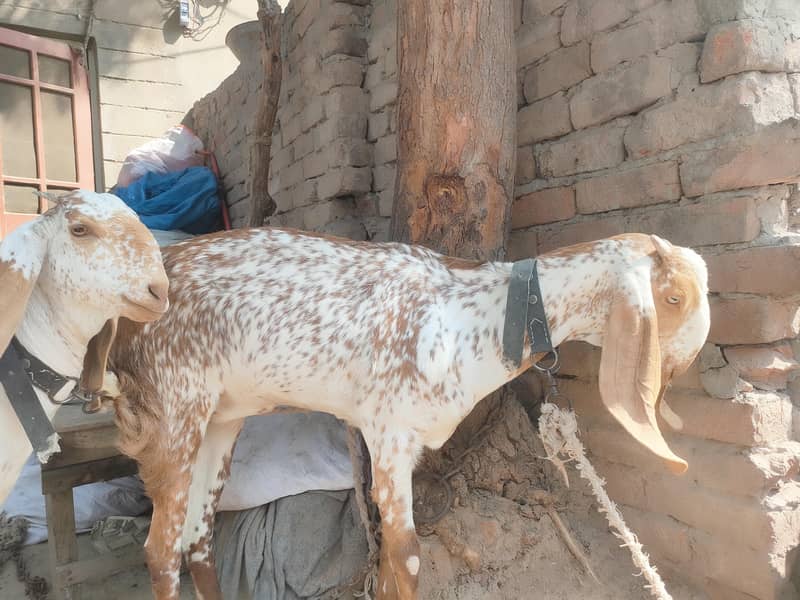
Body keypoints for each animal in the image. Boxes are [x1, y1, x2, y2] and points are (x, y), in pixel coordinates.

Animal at [108, 229, 710, 600]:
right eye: (674, 298)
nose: (682, 369)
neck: (480, 317)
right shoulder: (390, 432)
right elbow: (408, 553)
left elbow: (391, 558)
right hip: (176, 410)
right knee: (160, 551)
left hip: (220, 421)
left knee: (198, 540)